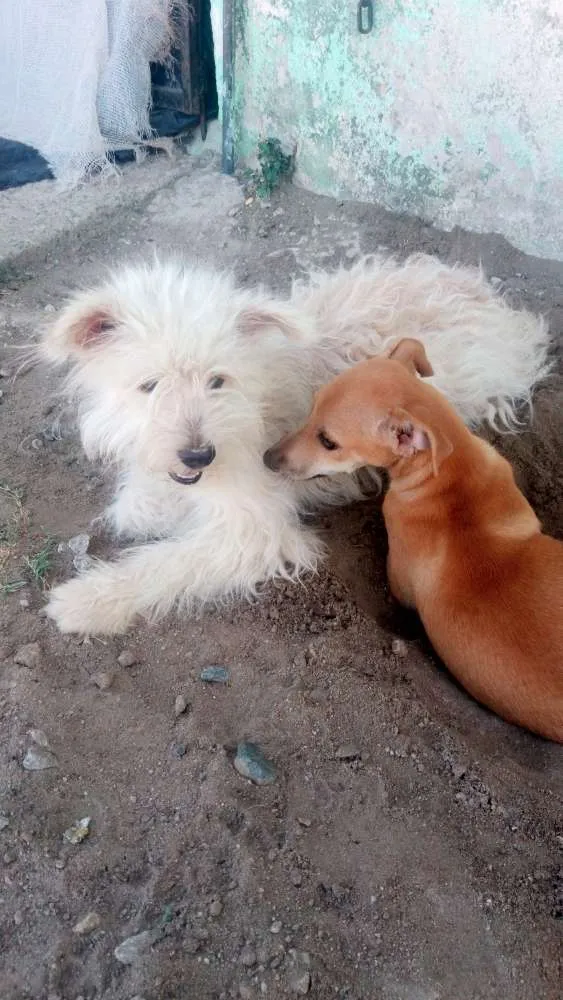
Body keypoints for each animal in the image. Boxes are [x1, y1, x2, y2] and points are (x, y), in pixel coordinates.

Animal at [40, 258, 552, 632]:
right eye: (149, 385)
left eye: (217, 380)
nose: (198, 454)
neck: (252, 401)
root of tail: (487, 296)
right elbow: (139, 503)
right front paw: (147, 505)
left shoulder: (255, 532)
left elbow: (169, 562)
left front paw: (87, 600)